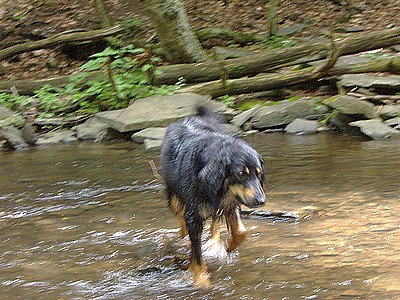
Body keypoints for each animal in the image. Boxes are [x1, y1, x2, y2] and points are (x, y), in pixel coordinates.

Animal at [159, 105, 266, 286]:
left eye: (258, 174)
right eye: (240, 174)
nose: (261, 201)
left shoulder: (230, 203)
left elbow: (240, 232)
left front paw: (229, 246)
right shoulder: (193, 217)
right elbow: (197, 253)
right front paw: (201, 279)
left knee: (214, 222)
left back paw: (215, 240)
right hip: (174, 197)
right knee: (181, 218)